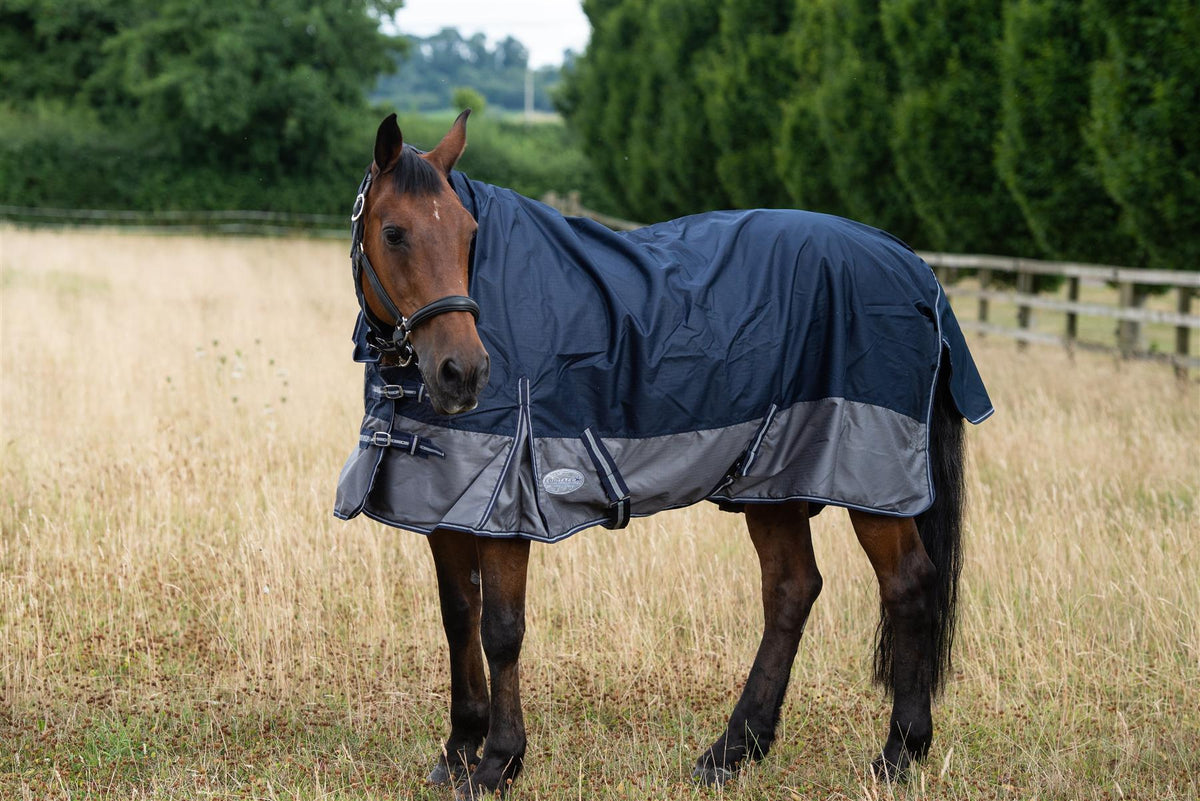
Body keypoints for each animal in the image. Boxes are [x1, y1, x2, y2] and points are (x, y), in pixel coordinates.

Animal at [335, 111, 993, 798]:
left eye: (468, 234)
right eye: (394, 232)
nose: (463, 373)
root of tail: (912, 266)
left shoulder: (508, 506)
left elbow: (502, 630)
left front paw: (498, 764)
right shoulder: (444, 504)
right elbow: (459, 618)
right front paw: (460, 748)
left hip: (872, 484)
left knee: (907, 586)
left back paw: (899, 753)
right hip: (772, 478)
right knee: (791, 590)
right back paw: (733, 750)